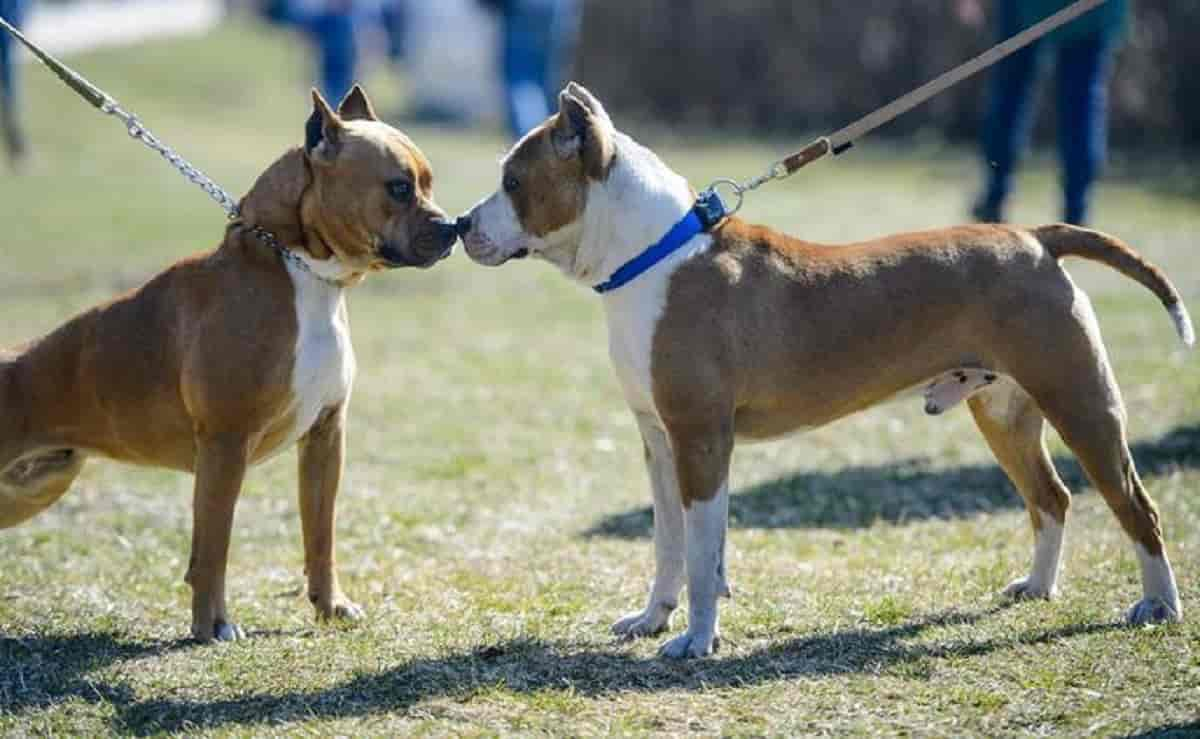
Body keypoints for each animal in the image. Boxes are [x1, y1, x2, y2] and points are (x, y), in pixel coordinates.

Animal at [0, 86, 458, 643]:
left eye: (428, 183)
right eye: (398, 187)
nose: (452, 227)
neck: (299, 271)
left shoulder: (325, 437)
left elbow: (320, 533)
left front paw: (330, 605)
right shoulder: (225, 445)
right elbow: (214, 545)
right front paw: (212, 625)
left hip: (32, 488)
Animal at [456, 82, 1190, 657]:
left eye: (514, 183)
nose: (461, 224)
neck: (653, 253)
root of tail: (1036, 238)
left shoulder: (700, 439)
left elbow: (699, 553)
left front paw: (696, 639)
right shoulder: (660, 442)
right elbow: (671, 544)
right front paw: (652, 618)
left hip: (1081, 402)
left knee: (1135, 504)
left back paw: (1160, 605)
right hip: (1005, 412)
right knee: (1051, 498)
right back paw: (1038, 587)